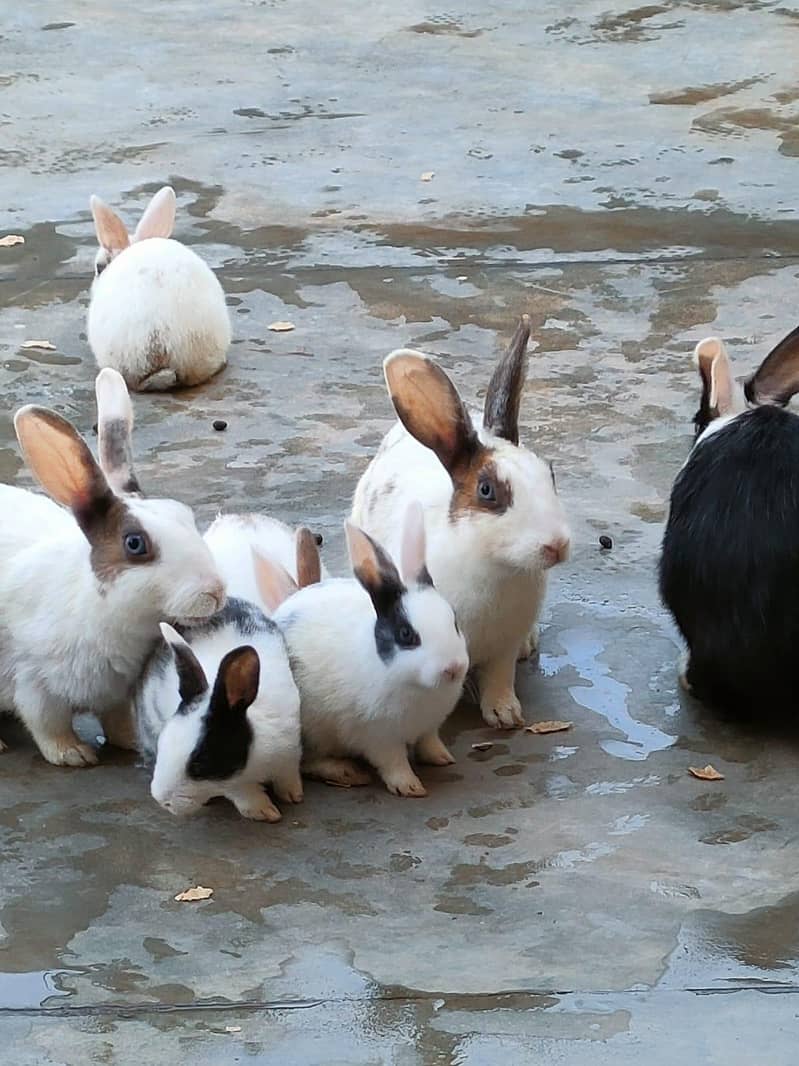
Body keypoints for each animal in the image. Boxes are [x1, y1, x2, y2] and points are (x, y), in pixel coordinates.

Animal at [0, 368, 225, 766]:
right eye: (135, 544)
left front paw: (131, 742)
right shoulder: (33, 682)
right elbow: (48, 725)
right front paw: (74, 754)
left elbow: (116, 720)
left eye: (183, 513)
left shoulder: (117, 693)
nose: (215, 591)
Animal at [135, 602, 302, 820]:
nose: (161, 800)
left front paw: (293, 795)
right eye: (161, 745)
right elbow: (245, 793)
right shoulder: (233, 785)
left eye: (200, 763)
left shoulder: (290, 748)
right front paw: (265, 812)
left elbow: (288, 774)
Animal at [254, 501, 470, 798]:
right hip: (310, 731)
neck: (419, 687)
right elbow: (393, 762)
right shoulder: (378, 737)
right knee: (309, 761)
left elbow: (429, 742)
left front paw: (441, 757)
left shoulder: (429, 726)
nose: (454, 668)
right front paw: (410, 786)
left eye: (454, 620)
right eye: (406, 634)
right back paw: (344, 771)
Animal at [351, 315, 570, 730]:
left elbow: (500, 677)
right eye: (486, 490)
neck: (496, 568)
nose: (558, 546)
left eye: (550, 473)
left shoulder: (503, 646)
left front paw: (505, 714)